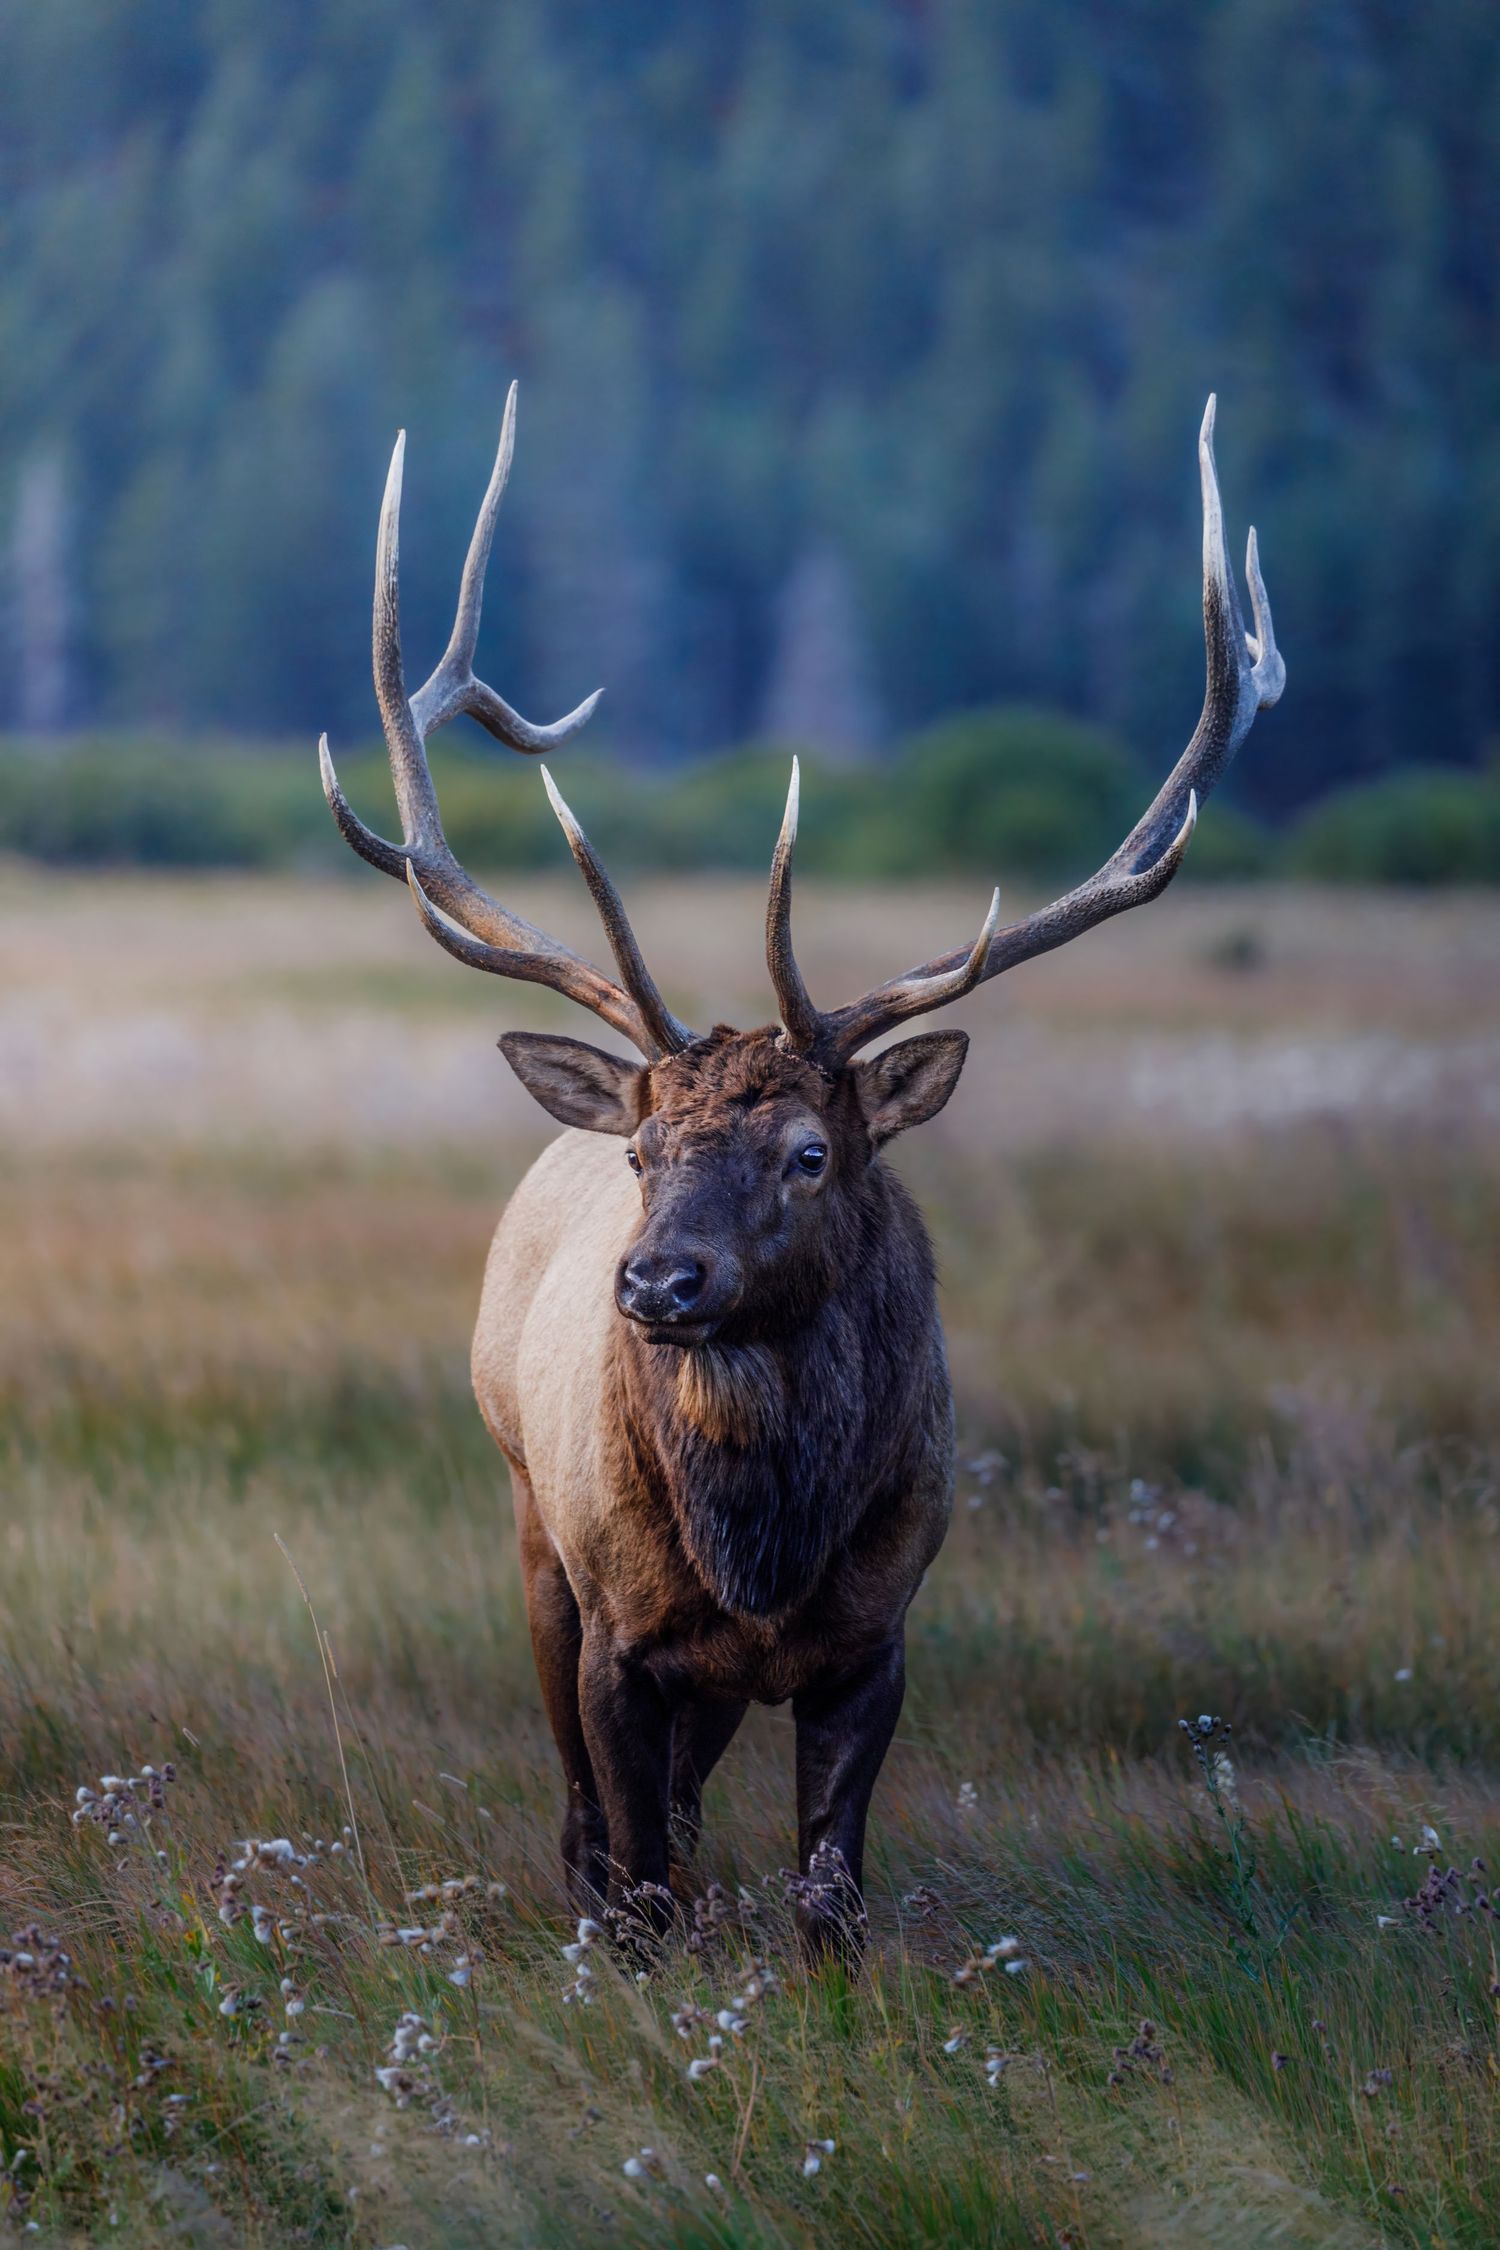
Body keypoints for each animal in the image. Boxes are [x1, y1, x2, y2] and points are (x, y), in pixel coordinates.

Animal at [319, 386, 1283, 1958]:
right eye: (644, 1149)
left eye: (812, 1152)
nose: (659, 1281)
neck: (762, 1557)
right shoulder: (620, 1628)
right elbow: (639, 1876)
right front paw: (629, 1947)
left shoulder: (878, 1636)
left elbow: (829, 1892)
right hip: (527, 1514)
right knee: (586, 1808)